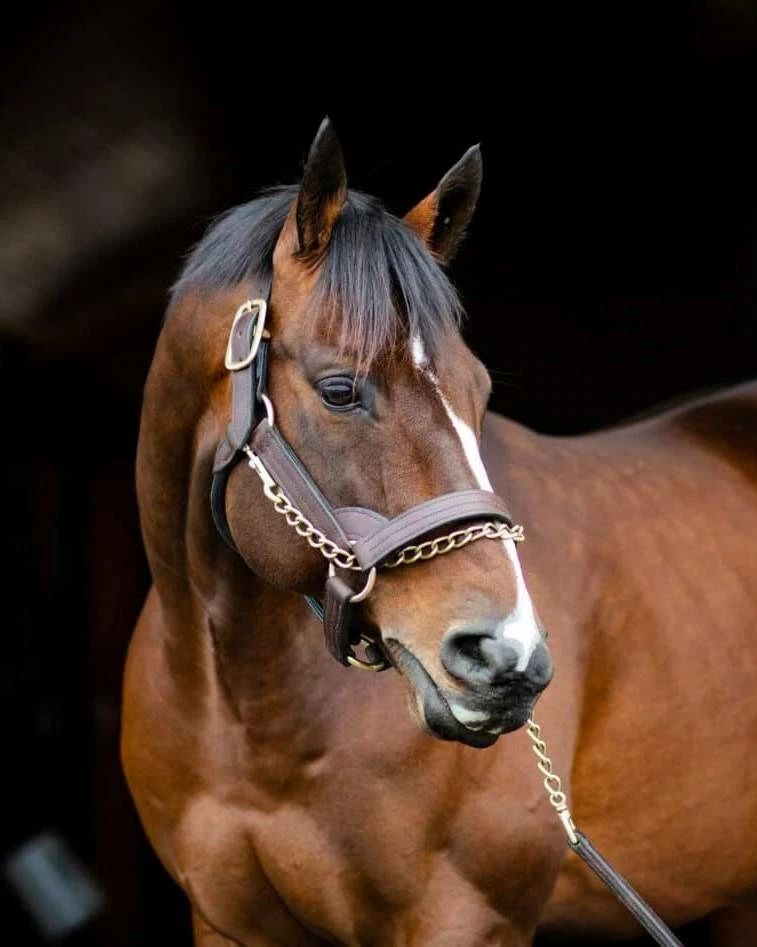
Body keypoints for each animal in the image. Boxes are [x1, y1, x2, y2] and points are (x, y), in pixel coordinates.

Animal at [122, 119, 757, 946]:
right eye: (339, 389)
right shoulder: (227, 924)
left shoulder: (464, 918)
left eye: (478, 390)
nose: (505, 657)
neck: (243, 714)